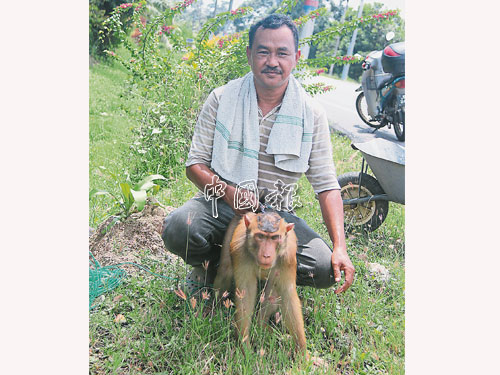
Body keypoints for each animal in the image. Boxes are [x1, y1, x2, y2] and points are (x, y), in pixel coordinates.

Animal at [213, 212, 306, 356]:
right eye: (260, 236)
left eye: (275, 238)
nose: (266, 255)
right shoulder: (241, 252)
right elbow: (246, 293)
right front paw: (244, 346)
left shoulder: (287, 257)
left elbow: (288, 295)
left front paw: (303, 354)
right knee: (225, 270)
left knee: (273, 289)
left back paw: (261, 324)